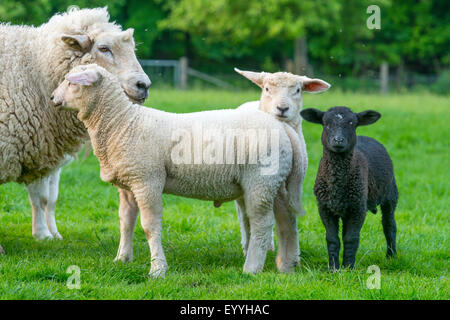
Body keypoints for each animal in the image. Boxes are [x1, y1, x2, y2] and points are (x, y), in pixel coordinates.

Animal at [0, 6, 151, 248]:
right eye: (104, 48)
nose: (143, 85)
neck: (34, 71)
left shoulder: (40, 151)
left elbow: (43, 198)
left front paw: (44, 235)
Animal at [51, 63, 302, 276]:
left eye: (71, 82)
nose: (52, 97)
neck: (122, 123)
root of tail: (282, 127)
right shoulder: (128, 185)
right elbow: (126, 221)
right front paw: (122, 258)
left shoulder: (147, 181)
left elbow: (150, 226)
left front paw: (157, 269)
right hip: (276, 183)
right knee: (287, 221)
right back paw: (287, 265)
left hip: (260, 181)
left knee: (262, 223)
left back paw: (251, 268)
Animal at [300, 107, 400, 270]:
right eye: (326, 123)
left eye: (352, 123)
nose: (338, 140)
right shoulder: (325, 207)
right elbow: (332, 239)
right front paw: (334, 268)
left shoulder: (358, 207)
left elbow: (351, 238)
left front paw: (348, 268)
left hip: (390, 194)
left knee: (389, 224)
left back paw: (391, 256)